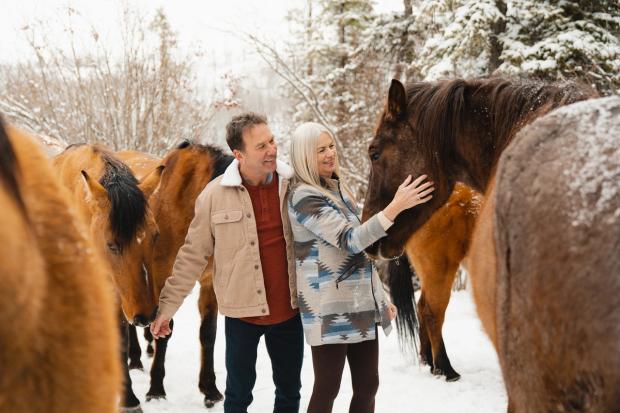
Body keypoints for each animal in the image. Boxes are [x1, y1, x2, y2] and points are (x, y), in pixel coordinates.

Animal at [54, 143, 162, 410]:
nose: (146, 316)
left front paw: (129, 399)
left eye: (154, 235)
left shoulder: (115, 293)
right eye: (112, 244)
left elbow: (120, 340)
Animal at [117, 141, 234, 406]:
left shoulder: (209, 282)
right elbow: (165, 328)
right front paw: (156, 389)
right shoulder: (163, 277)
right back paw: (136, 359)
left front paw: (210, 389)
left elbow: (208, 333)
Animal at [364, 76, 620, 408]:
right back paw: (445, 370)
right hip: (440, 267)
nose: (367, 229)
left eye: (375, 153)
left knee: (426, 310)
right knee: (431, 311)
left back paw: (433, 364)